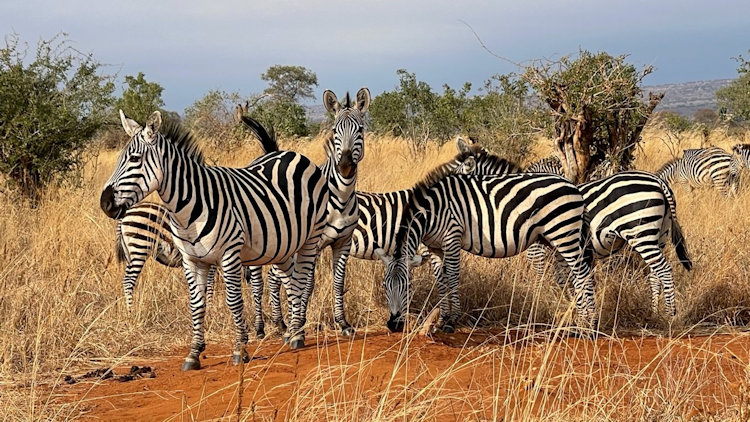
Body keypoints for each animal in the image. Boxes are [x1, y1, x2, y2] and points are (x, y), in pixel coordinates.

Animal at [100, 109, 328, 370]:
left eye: (135, 159)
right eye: (119, 159)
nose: (105, 203)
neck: (189, 208)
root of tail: (291, 154)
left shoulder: (229, 255)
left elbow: (233, 301)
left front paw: (240, 349)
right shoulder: (192, 260)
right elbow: (197, 303)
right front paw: (194, 353)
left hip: (310, 237)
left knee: (300, 281)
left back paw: (297, 333)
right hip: (283, 243)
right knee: (290, 281)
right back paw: (291, 331)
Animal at [256, 87, 374, 338]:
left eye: (360, 129)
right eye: (335, 131)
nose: (345, 165)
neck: (340, 197)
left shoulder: (343, 242)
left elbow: (338, 283)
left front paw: (343, 324)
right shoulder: (315, 243)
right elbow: (307, 284)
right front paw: (299, 322)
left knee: (273, 277)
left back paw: (280, 323)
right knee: (264, 278)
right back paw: (263, 328)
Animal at [376, 167, 600, 332]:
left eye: (408, 287)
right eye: (384, 286)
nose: (393, 325)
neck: (432, 210)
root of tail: (574, 187)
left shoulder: (452, 236)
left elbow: (453, 277)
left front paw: (452, 320)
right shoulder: (435, 246)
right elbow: (440, 280)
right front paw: (443, 318)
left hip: (565, 233)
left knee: (583, 274)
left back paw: (590, 324)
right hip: (558, 239)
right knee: (572, 275)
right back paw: (578, 323)